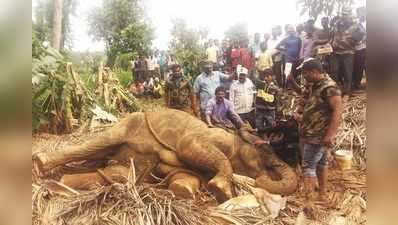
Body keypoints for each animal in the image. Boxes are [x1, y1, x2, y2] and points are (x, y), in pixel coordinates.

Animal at [33, 108, 296, 201]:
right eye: (266, 150)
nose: (261, 179)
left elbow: (184, 177)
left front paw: (184, 189)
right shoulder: (209, 139)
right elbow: (189, 146)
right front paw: (222, 192)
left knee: (116, 170)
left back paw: (60, 183)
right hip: (127, 123)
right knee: (99, 142)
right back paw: (39, 164)